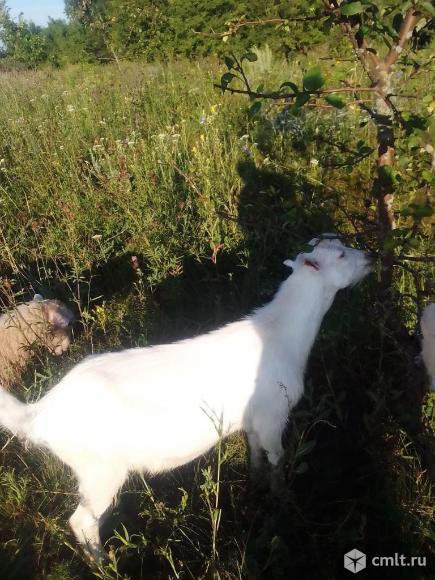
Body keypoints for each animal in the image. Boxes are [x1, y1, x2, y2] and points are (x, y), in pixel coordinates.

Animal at [0, 237, 372, 559]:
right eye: (341, 255)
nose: (370, 257)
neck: (282, 331)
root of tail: (41, 412)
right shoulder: (273, 418)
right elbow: (278, 462)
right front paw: (282, 505)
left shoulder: (254, 420)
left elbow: (255, 456)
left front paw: (255, 487)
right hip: (99, 470)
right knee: (81, 521)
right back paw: (103, 564)